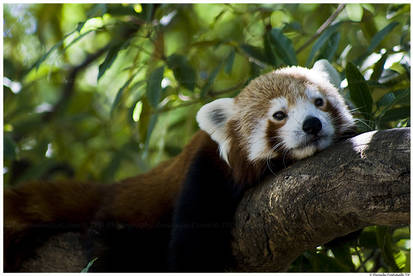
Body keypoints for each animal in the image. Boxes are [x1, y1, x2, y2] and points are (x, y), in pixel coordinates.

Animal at [4, 59, 354, 272]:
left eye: (319, 102)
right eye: (279, 115)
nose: (311, 124)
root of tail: (111, 191)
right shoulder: (205, 174)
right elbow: (190, 251)